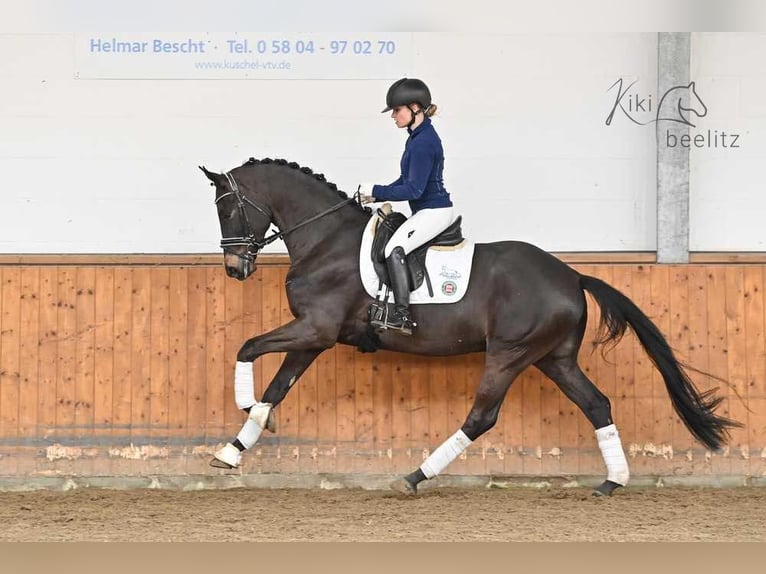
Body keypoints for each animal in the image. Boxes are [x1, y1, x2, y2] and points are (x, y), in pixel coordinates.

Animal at [201, 155, 740, 498]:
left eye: (227, 207)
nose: (234, 268)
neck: (326, 240)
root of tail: (570, 275)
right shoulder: (314, 335)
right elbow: (278, 384)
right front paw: (233, 449)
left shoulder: (315, 329)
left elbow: (247, 348)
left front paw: (246, 410)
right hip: (553, 357)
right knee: (596, 404)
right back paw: (612, 482)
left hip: (509, 353)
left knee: (482, 416)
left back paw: (414, 477)